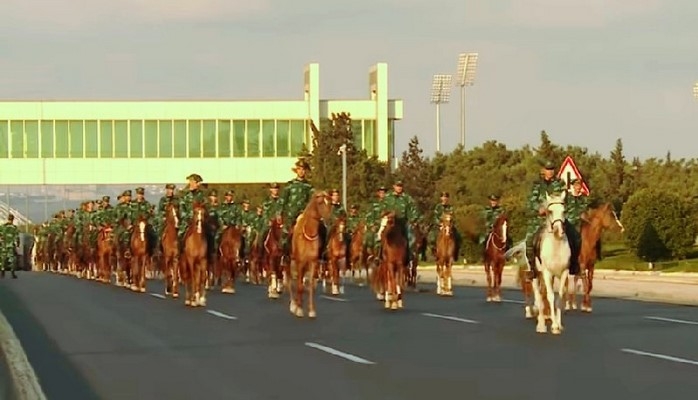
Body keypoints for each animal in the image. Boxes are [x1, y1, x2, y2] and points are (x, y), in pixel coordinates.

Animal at [532, 192, 568, 336]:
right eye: (550, 211)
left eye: (564, 211)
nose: (559, 231)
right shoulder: (546, 273)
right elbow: (550, 297)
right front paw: (553, 326)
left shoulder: (564, 273)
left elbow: (560, 297)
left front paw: (559, 325)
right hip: (537, 275)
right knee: (539, 296)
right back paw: (541, 325)